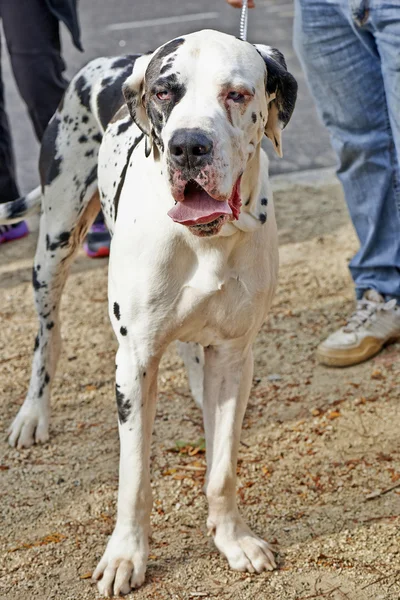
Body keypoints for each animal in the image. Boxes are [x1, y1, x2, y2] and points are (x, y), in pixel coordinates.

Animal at [3, 29, 296, 596]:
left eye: (237, 94)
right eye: (165, 92)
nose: (187, 146)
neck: (205, 240)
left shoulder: (235, 355)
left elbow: (222, 467)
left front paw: (232, 538)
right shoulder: (133, 363)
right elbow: (134, 476)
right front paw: (125, 557)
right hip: (53, 248)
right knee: (47, 338)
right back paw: (32, 414)